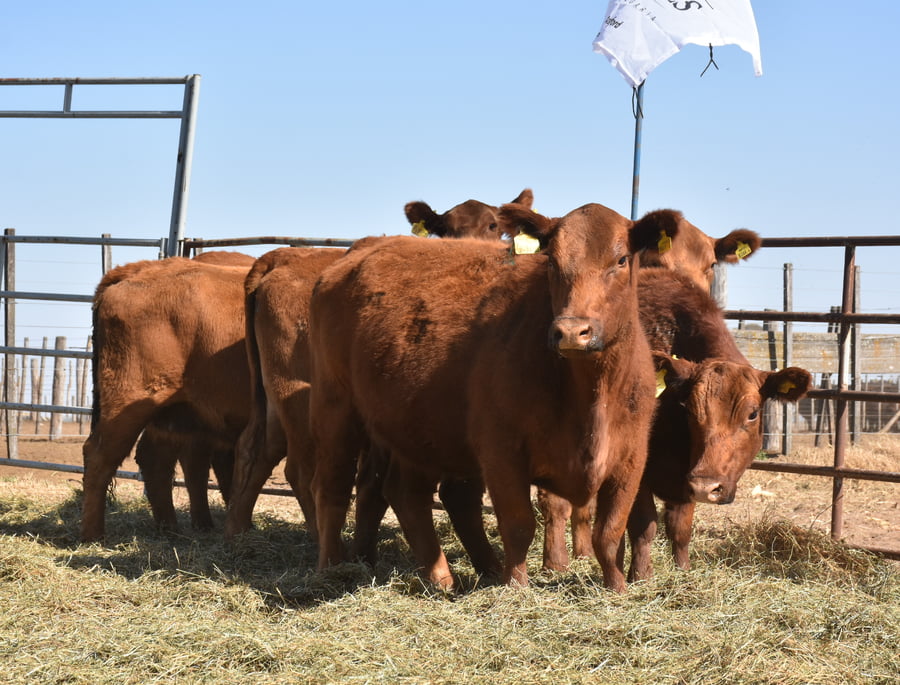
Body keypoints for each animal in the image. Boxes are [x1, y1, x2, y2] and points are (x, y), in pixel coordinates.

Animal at [80, 257, 251, 542]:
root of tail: (138, 269)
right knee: (99, 457)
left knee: (158, 460)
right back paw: (93, 536)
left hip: (174, 413)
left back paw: (172, 528)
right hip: (129, 405)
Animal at [224, 189, 535, 541]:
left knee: (256, 448)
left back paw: (237, 529)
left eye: (493, 225)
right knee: (301, 470)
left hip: (273, 397)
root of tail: (279, 257)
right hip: (301, 395)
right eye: (445, 229)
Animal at [307, 202, 682, 591]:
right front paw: (516, 587)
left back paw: (450, 576)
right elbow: (518, 525)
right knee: (333, 486)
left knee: (407, 494)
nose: (571, 332)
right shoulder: (501, 450)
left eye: (621, 259)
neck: (590, 393)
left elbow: (608, 533)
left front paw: (617, 588)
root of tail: (359, 252)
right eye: (552, 261)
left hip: (414, 426)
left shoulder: (631, 458)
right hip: (335, 406)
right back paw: (331, 568)